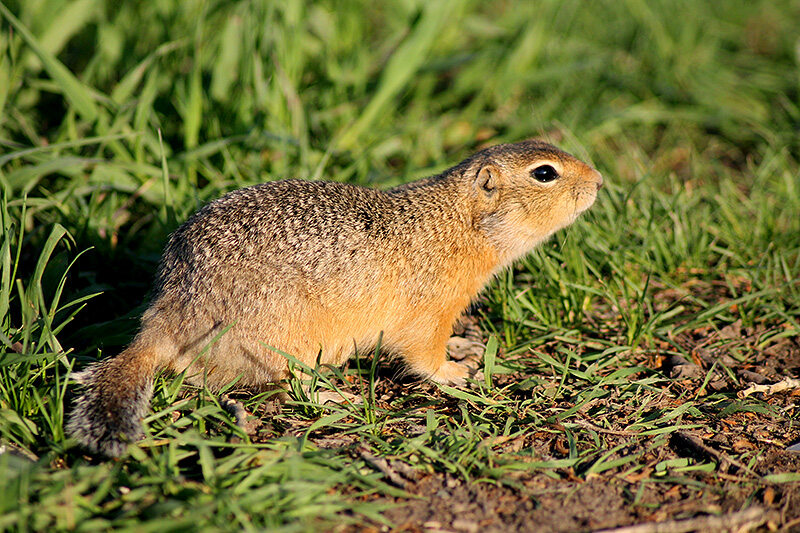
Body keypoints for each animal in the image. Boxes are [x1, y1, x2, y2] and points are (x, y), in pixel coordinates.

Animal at [69, 139, 604, 456]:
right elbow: (423, 354)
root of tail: (168, 316)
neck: (458, 223)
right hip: (287, 337)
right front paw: (455, 372)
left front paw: (465, 347)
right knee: (285, 383)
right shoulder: (429, 310)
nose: (600, 181)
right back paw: (330, 393)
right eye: (545, 173)